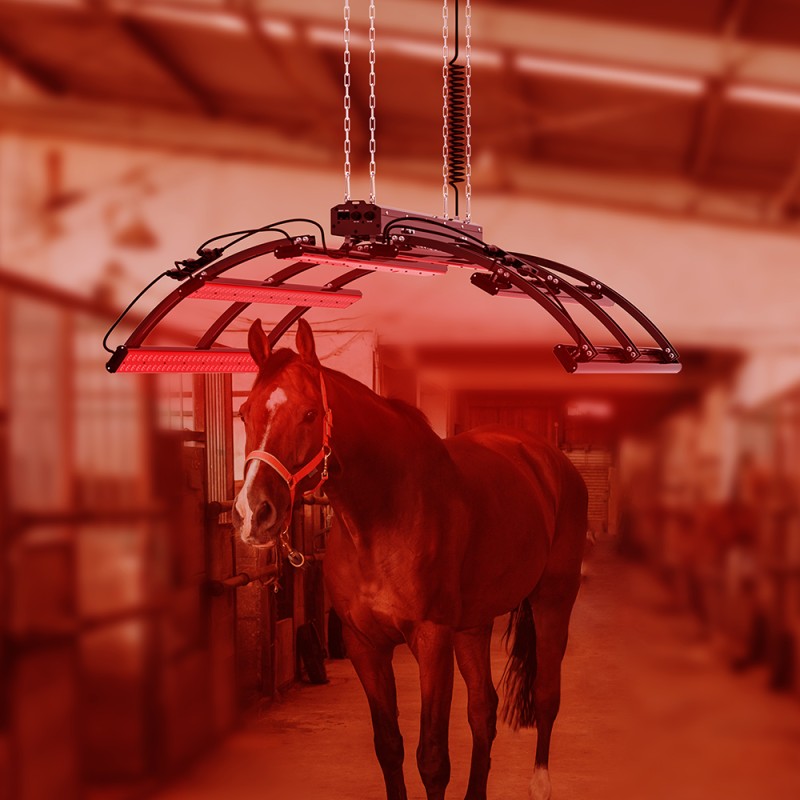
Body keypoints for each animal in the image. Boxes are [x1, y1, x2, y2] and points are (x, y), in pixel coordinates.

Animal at [233, 319, 588, 800]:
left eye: (309, 414)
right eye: (244, 413)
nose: (254, 512)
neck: (382, 515)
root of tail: (548, 459)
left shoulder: (431, 638)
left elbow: (432, 758)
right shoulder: (365, 645)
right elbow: (389, 746)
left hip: (553, 602)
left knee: (547, 696)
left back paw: (540, 784)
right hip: (473, 625)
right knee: (483, 709)